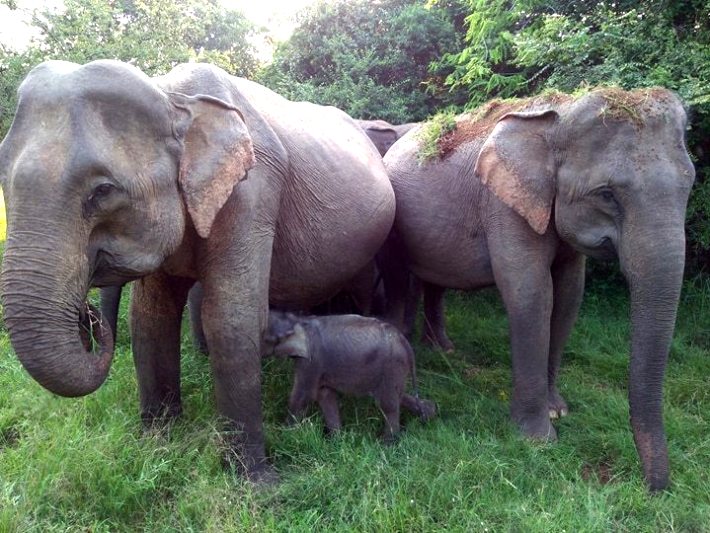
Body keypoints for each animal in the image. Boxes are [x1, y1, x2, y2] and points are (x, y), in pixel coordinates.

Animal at [0, 60, 398, 480]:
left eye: (103, 191)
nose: (88, 316)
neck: (172, 97)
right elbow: (150, 318)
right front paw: (157, 445)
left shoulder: (252, 192)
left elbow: (230, 320)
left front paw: (257, 482)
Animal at [264, 310, 436, 438]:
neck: (298, 320)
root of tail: (404, 341)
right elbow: (325, 395)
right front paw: (336, 440)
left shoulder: (311, 362)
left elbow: (304, 395)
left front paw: (284, 434)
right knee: (398, 396)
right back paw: (429, 414)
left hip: (392, 365)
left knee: (388, 404)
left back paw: (387, 444)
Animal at [382, 88, 700, 490]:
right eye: (607, 195)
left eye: (689, 185)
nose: (655, 488)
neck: (558, 117)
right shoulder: (502, 203)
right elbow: (531, 293)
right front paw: (538, 439)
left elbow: (568, 297)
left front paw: (558, 410)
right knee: (397, 276)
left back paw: (443, 349)